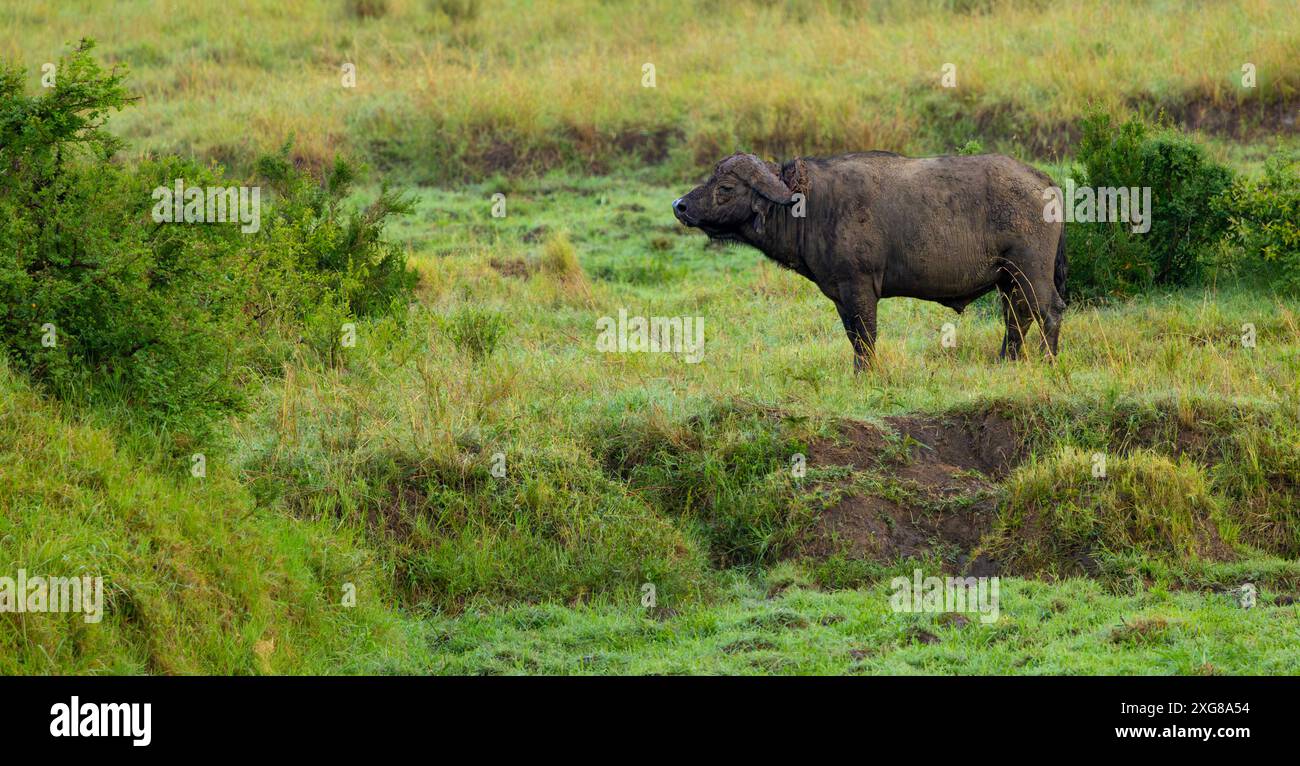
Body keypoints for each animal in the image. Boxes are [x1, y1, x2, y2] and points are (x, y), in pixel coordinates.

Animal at [670, 151, 1066, 366]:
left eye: (725, 188)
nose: (680, 206)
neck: (812, 206)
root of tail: (1044, 182)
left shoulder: (859, 288)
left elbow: (866, 335)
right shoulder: (840, 296)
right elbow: (853, 337)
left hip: (1030, 272)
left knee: (1047, 311)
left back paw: (1047, 359)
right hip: (1008, 280)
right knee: (1017, 317)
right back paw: (1007, 360)